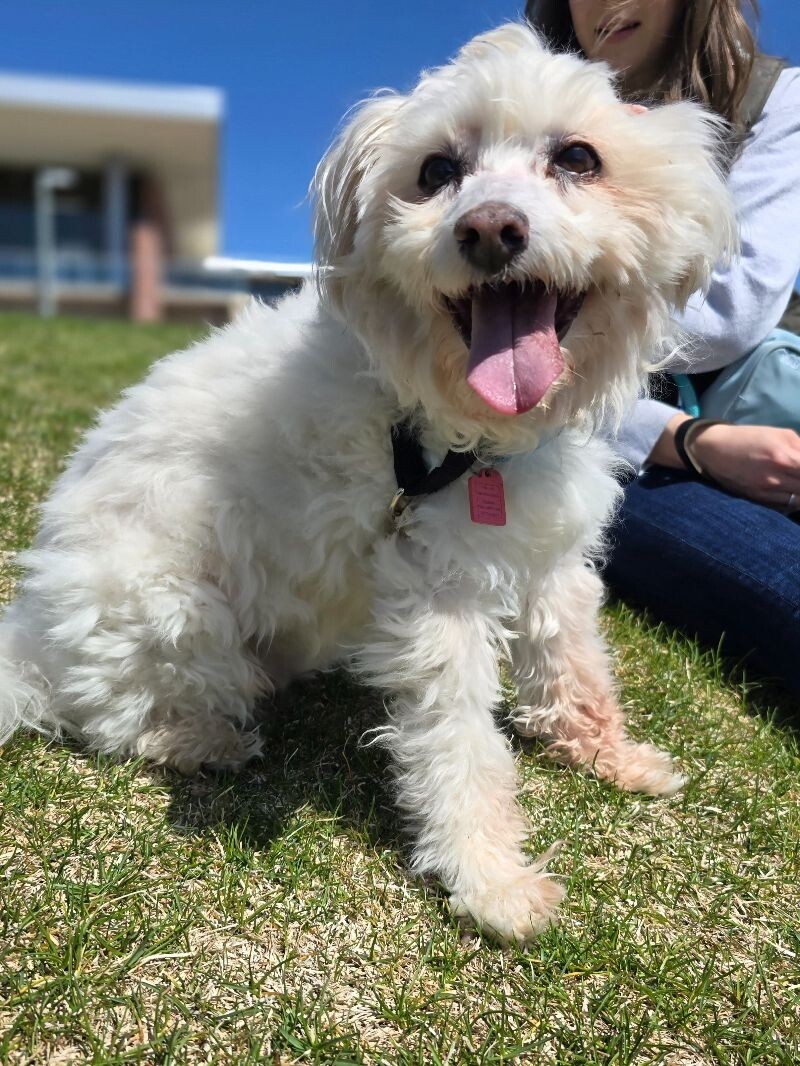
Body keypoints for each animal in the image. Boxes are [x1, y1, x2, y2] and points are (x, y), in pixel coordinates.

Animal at [0, 27, 733, 942]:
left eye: (577, 158)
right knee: (110, 712)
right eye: (436, 171)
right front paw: (492, 879)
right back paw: (200, 740)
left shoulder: (552, 555)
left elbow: (575, 664)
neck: (467, 433)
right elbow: (459, 741)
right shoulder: (434, 589)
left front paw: (611, 755)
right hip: (171, 607)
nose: (490, 228)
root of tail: (30, 639)